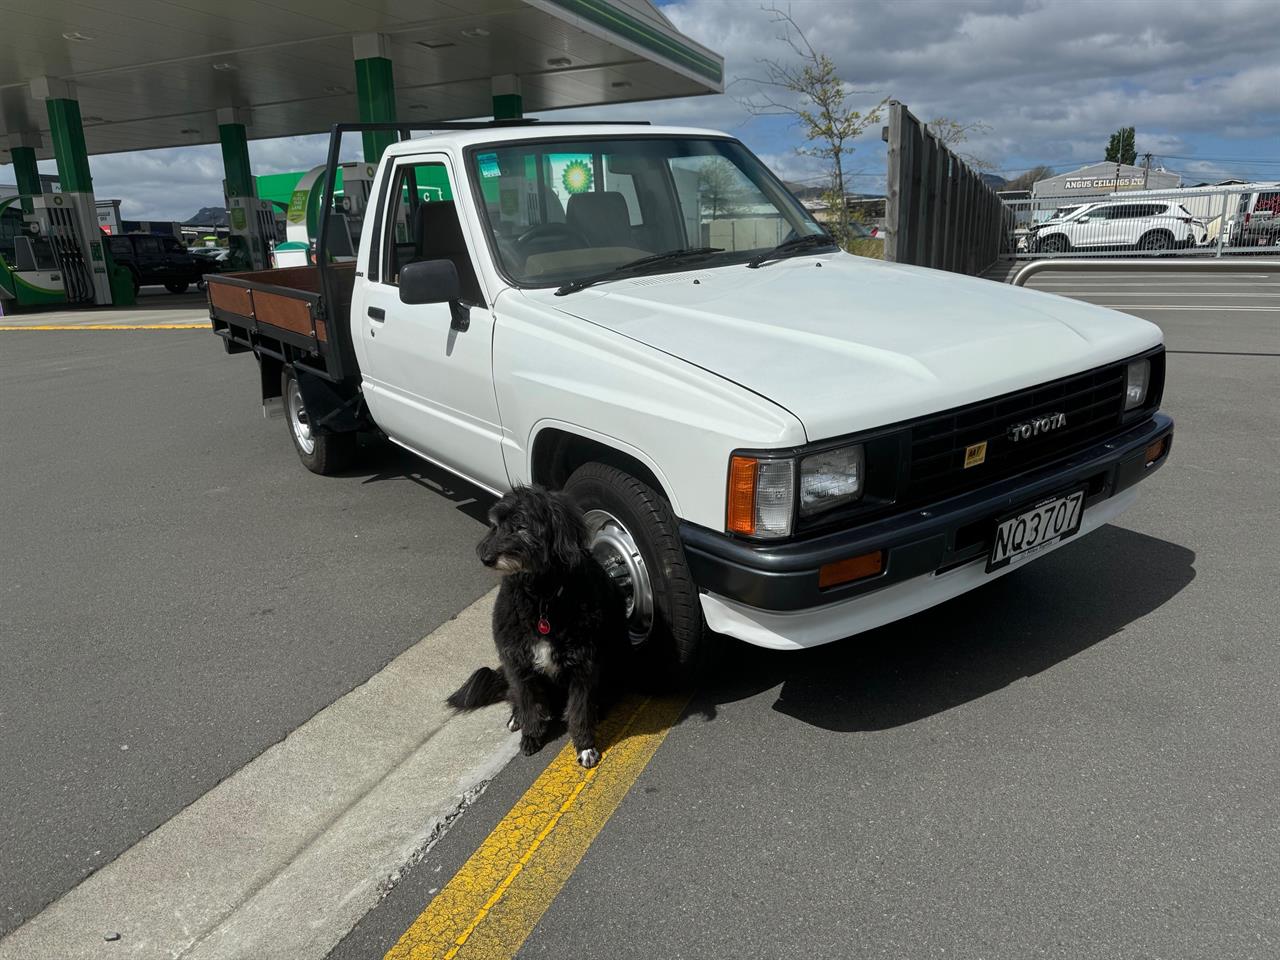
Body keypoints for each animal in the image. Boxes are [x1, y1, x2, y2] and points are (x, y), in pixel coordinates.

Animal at [448, 488, 627, 768]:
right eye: (495, 525)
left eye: (521, 526)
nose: (485, 558)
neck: (541, 597)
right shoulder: (518, 663)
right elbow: (529, 703)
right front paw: (530, 736)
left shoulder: (583, 667)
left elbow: (579, 711)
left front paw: (585, 746)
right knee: (516, 697)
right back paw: (516, 718)